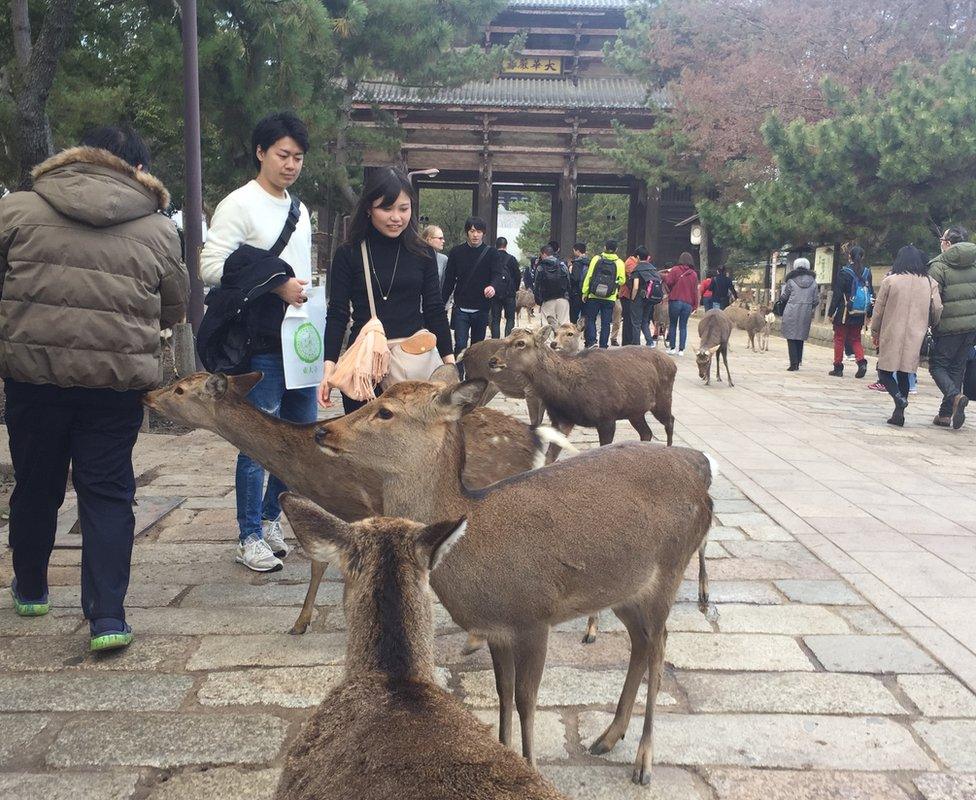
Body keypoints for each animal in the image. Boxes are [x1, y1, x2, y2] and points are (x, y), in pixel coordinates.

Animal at [145, 372, 572, 640]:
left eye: (179, 388)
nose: (146, 394)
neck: (303, 466)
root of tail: (536, 439)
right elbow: (320, 562)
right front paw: (301, 623)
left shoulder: (366, 502)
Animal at [312, 378, 716, 784]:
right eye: (377, 395)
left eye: (386, 411)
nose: (322, 430)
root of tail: (700, 470)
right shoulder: (496, 629)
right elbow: (502, 692)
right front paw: (507, 753)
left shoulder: (534, 618)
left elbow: (526, 698)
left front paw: (532, 766)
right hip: (624, 589)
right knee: (641, 643)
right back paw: (608, 736)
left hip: (669, 570)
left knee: (659, 648)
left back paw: (643, 761)